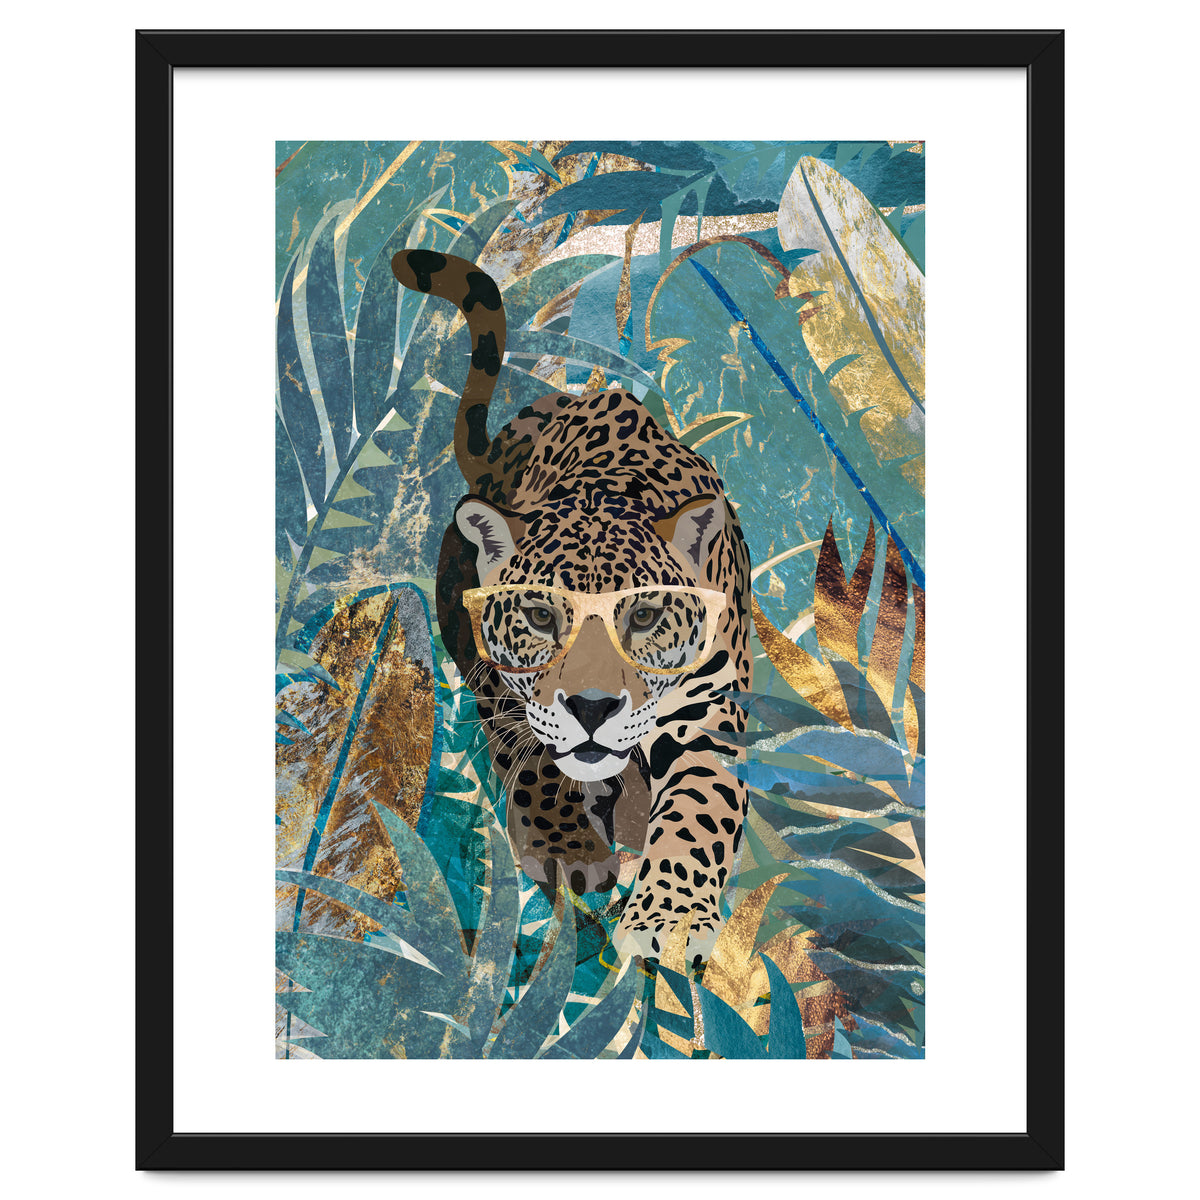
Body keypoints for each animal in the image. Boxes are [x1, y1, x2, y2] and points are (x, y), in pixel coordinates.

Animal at [392, 248, 753, 964]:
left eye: (643, 616)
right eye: (540, 616)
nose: (591, 708)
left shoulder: (709, 712)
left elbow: (700, 809)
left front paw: (670, 919)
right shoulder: (498, 679)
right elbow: (531, 757)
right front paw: (567, 849)